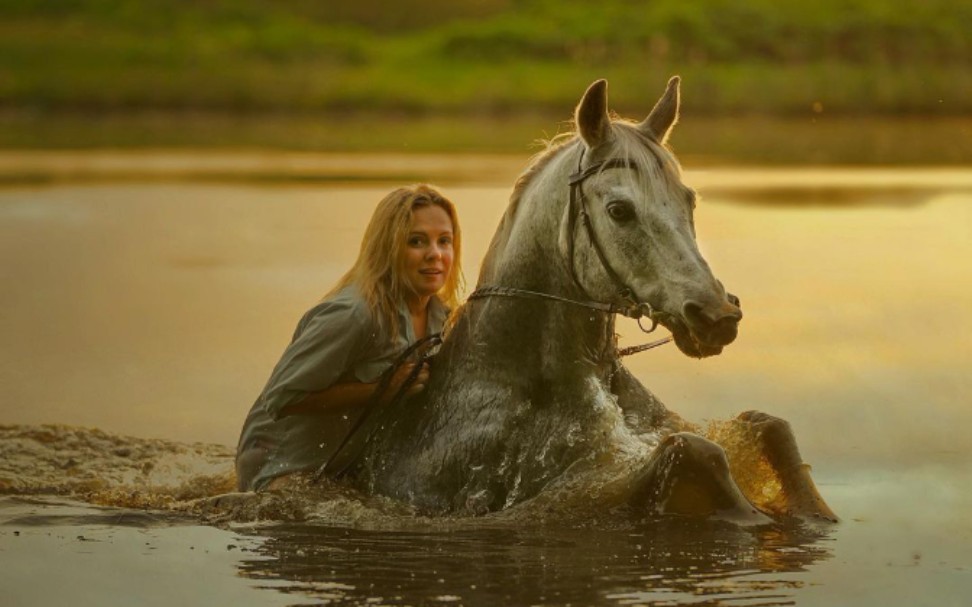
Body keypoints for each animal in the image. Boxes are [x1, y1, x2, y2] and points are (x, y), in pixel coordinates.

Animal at [324, 77, 836, 524]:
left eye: (689, 200)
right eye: (619, 210)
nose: (716, 316)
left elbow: (767, 425)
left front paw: (815, 514)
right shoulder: (587, 482)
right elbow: (696, 451)